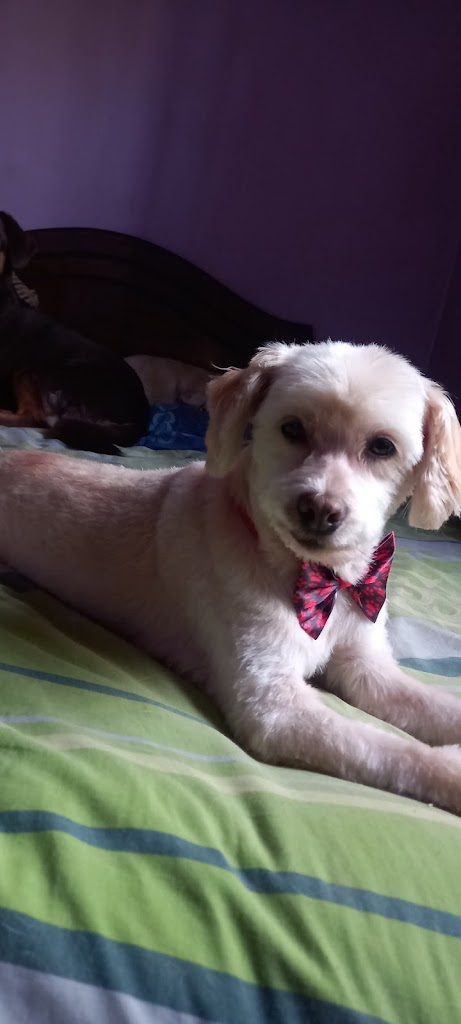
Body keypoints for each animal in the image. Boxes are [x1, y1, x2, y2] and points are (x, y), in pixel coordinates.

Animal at [0, 341, 461, 812]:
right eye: (292, 428)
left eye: (382, 447)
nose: (318, 510)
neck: (317, 578)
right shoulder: (272, 706)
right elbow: (385, 749)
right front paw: (450, 771)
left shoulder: (368, 670)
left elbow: (433, 707)